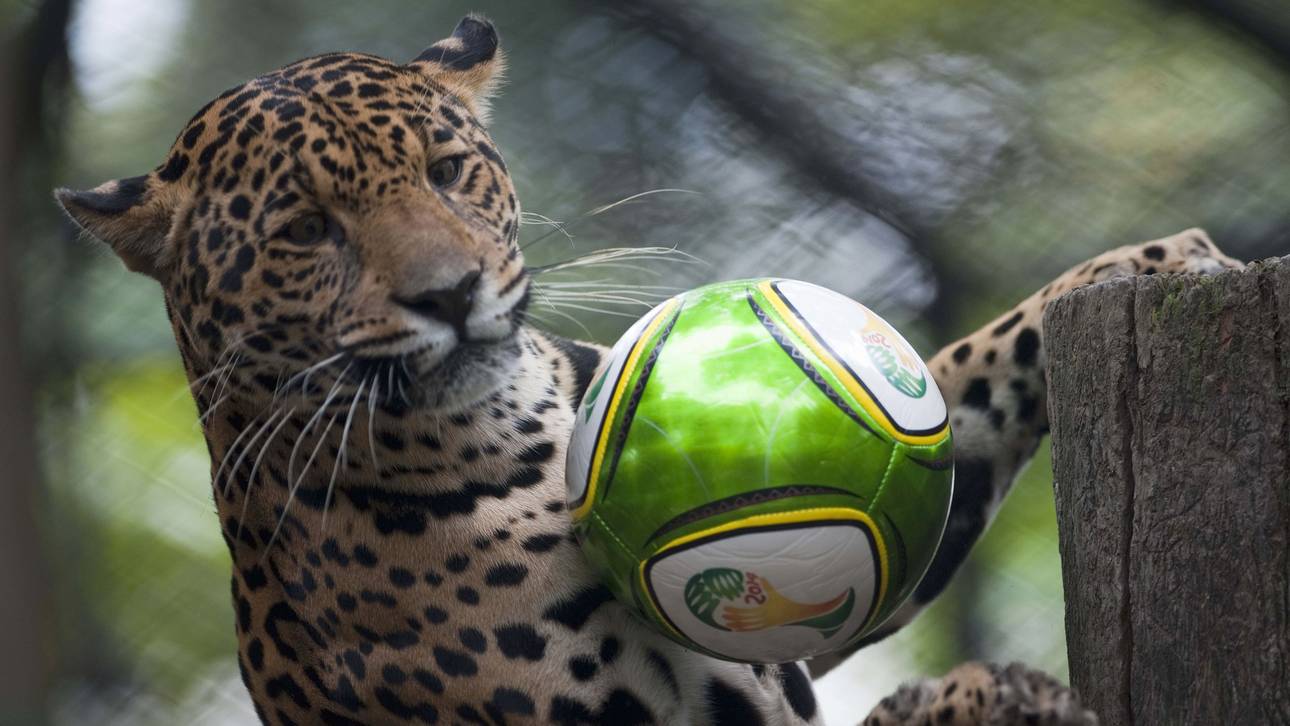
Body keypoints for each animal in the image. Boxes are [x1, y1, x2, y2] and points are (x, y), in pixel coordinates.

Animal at [55, 14, 1242, 726]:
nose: (450, 293)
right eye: (306, 230)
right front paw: (977, 697)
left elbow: (957, 392)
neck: (515, 434)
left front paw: (1150, 262)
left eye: (446, 170)